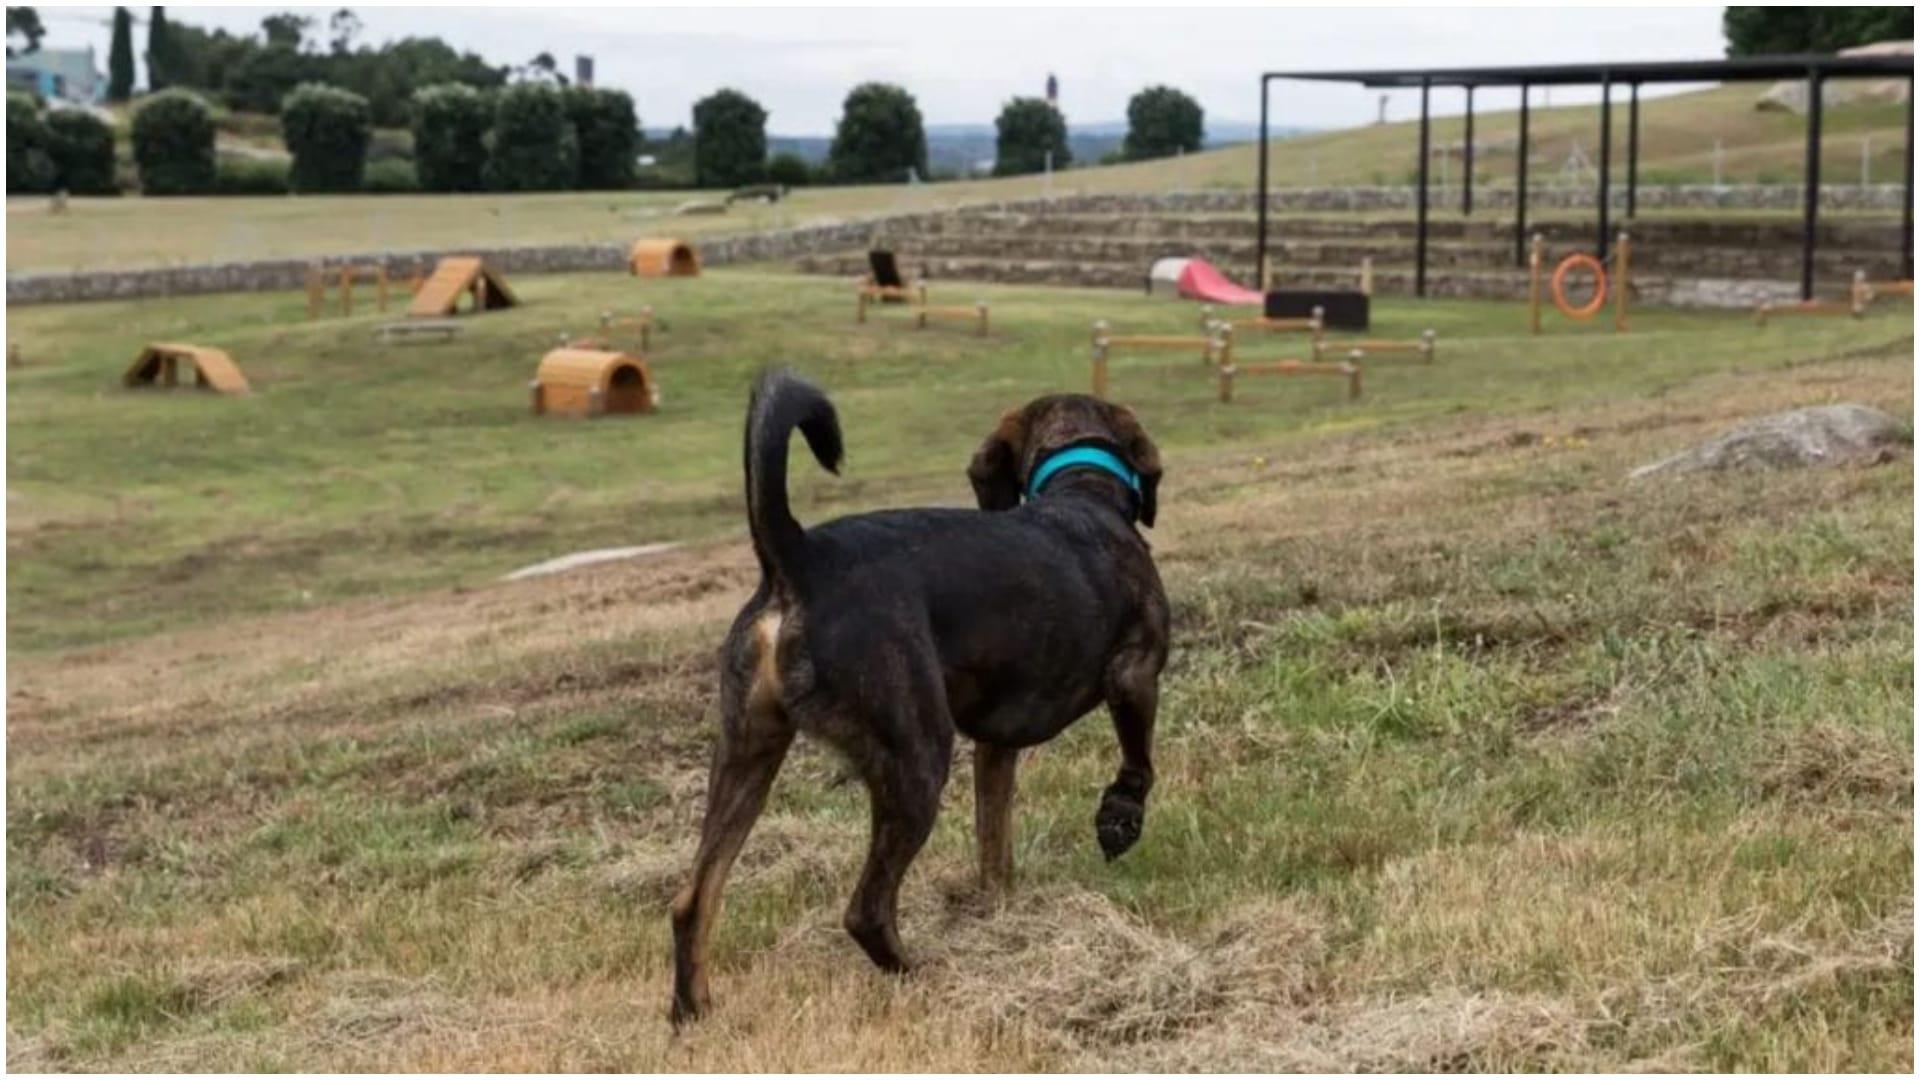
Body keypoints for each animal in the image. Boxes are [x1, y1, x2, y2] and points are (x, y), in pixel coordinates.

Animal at [668, 367, 1167, 1014]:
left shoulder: (996, 745)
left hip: (746, 754)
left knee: (693, 900)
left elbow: (994, 846)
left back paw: (694, 1013)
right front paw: (1118, 823)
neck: (1081, 490)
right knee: (866, 911)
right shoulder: (1136, 673)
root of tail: (798, 560)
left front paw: (1003, 913)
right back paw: (921, 977)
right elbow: (1139, 767)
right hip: (916, 758)